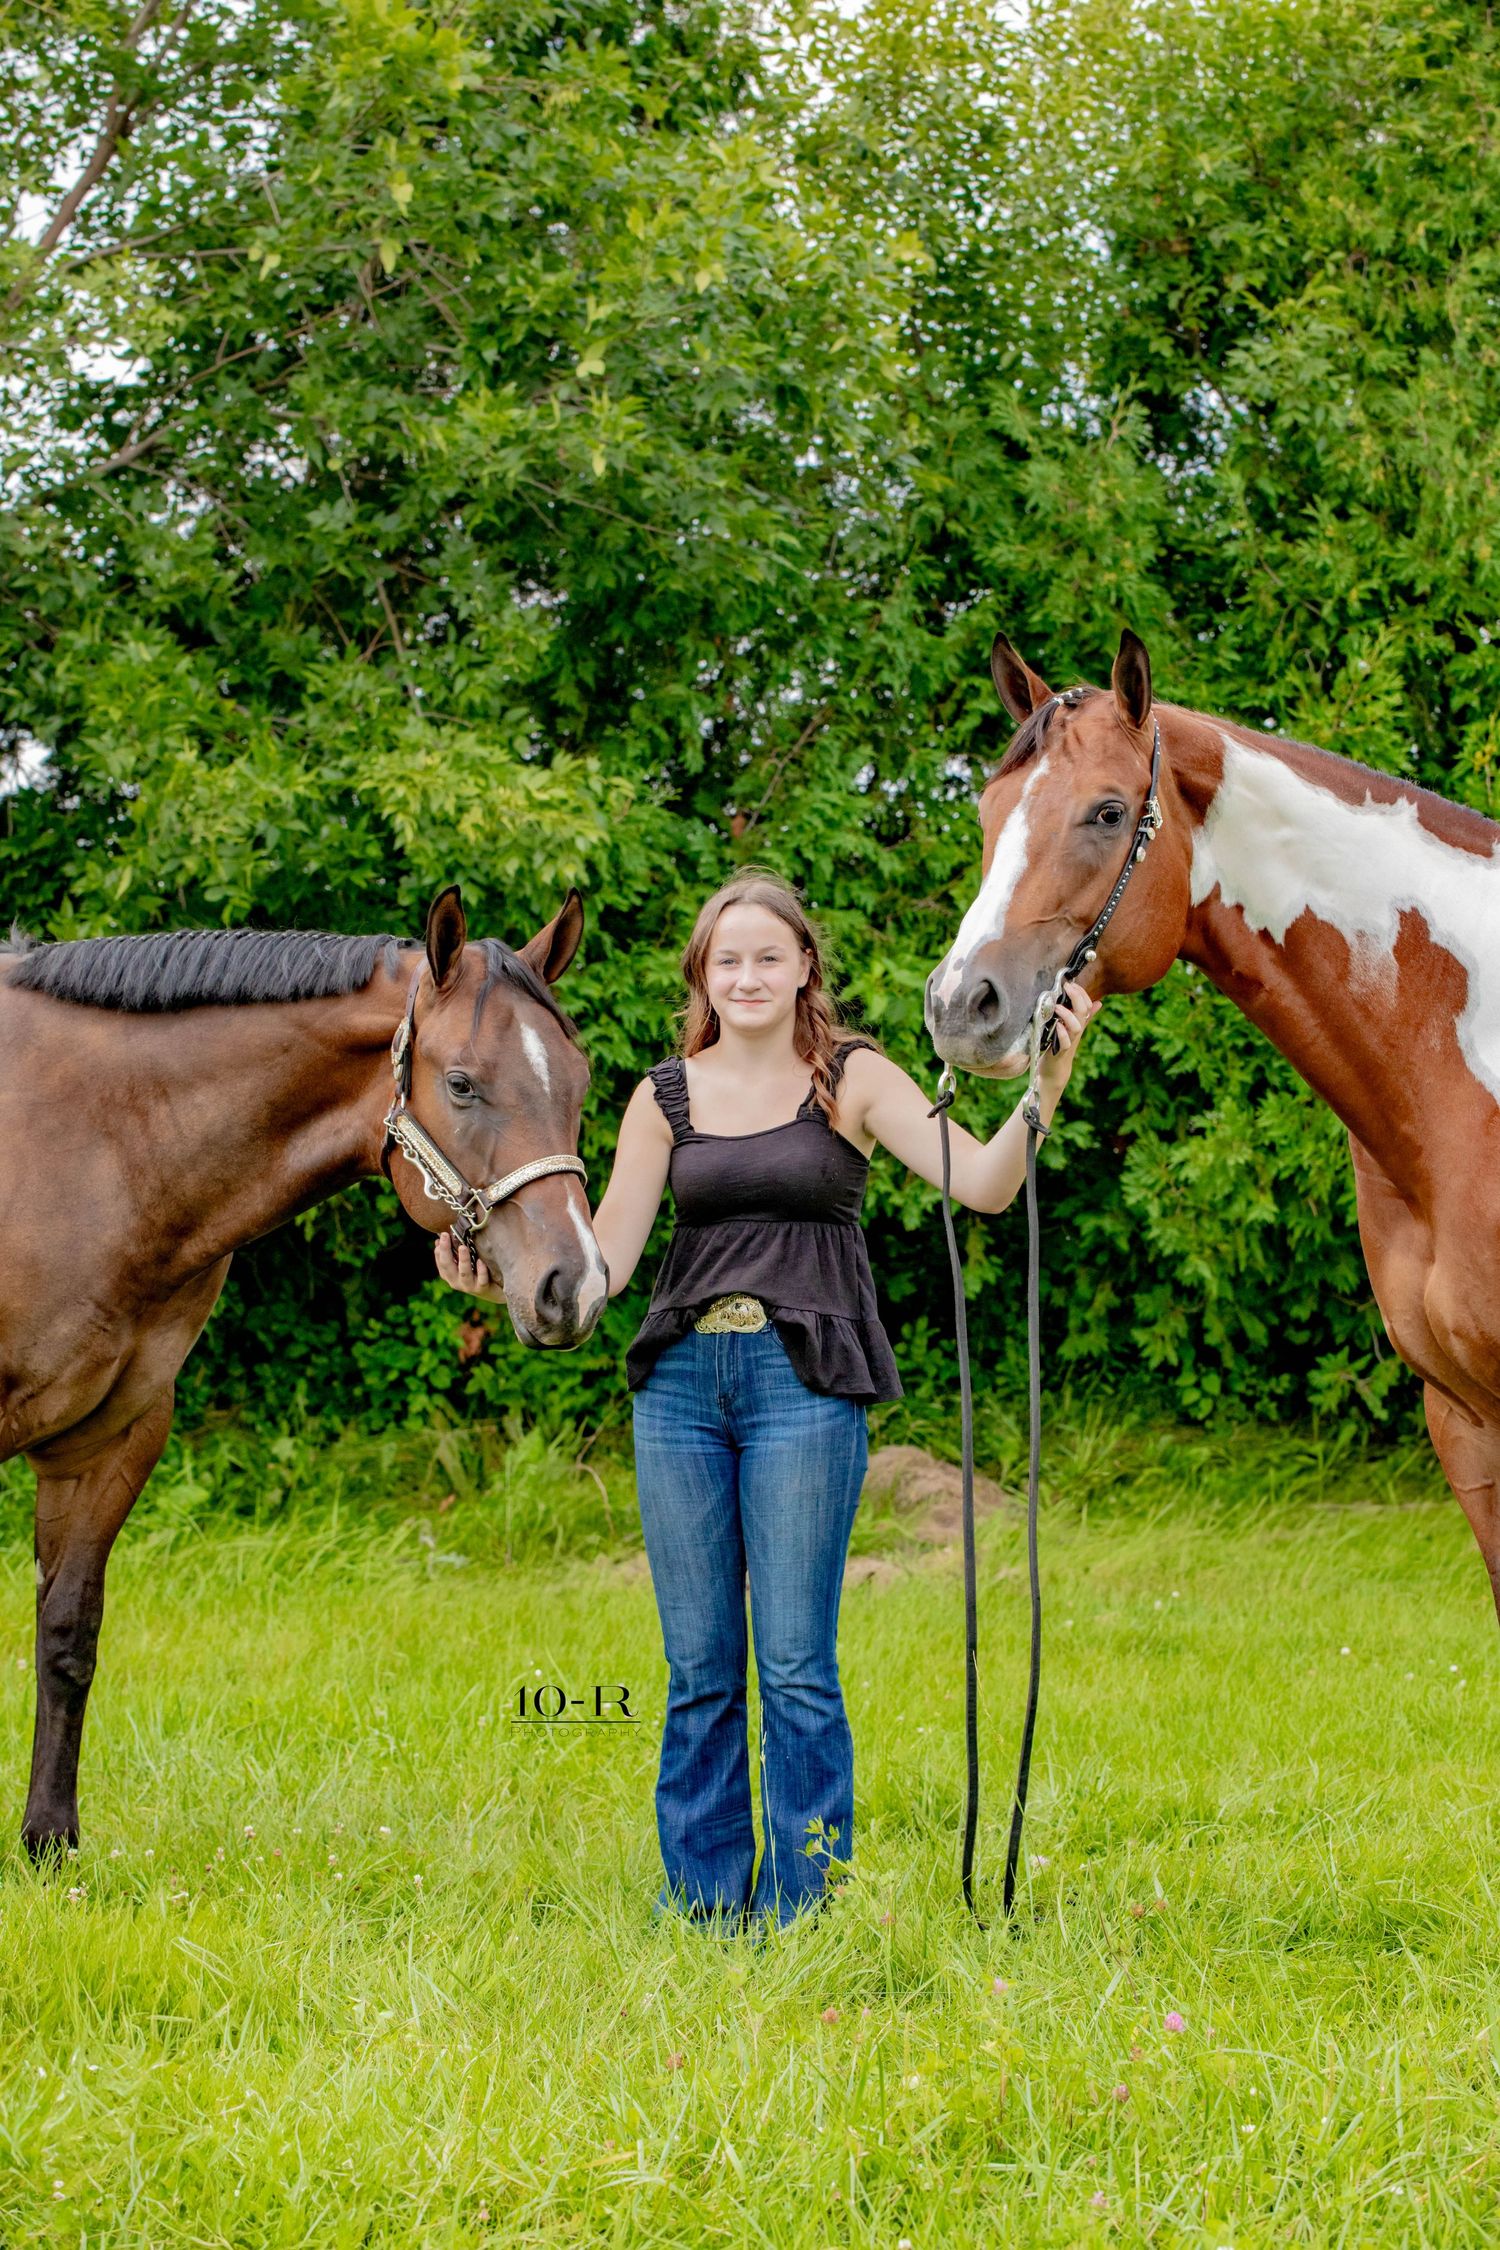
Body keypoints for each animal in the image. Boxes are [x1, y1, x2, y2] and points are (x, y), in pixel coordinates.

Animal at [0, 883, 608, 1857]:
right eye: (461, 1083)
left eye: (578, 1084)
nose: (575, 1287)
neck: (88, 1141)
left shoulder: (108, 1440)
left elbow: (66, 1635)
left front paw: (48, 1841)